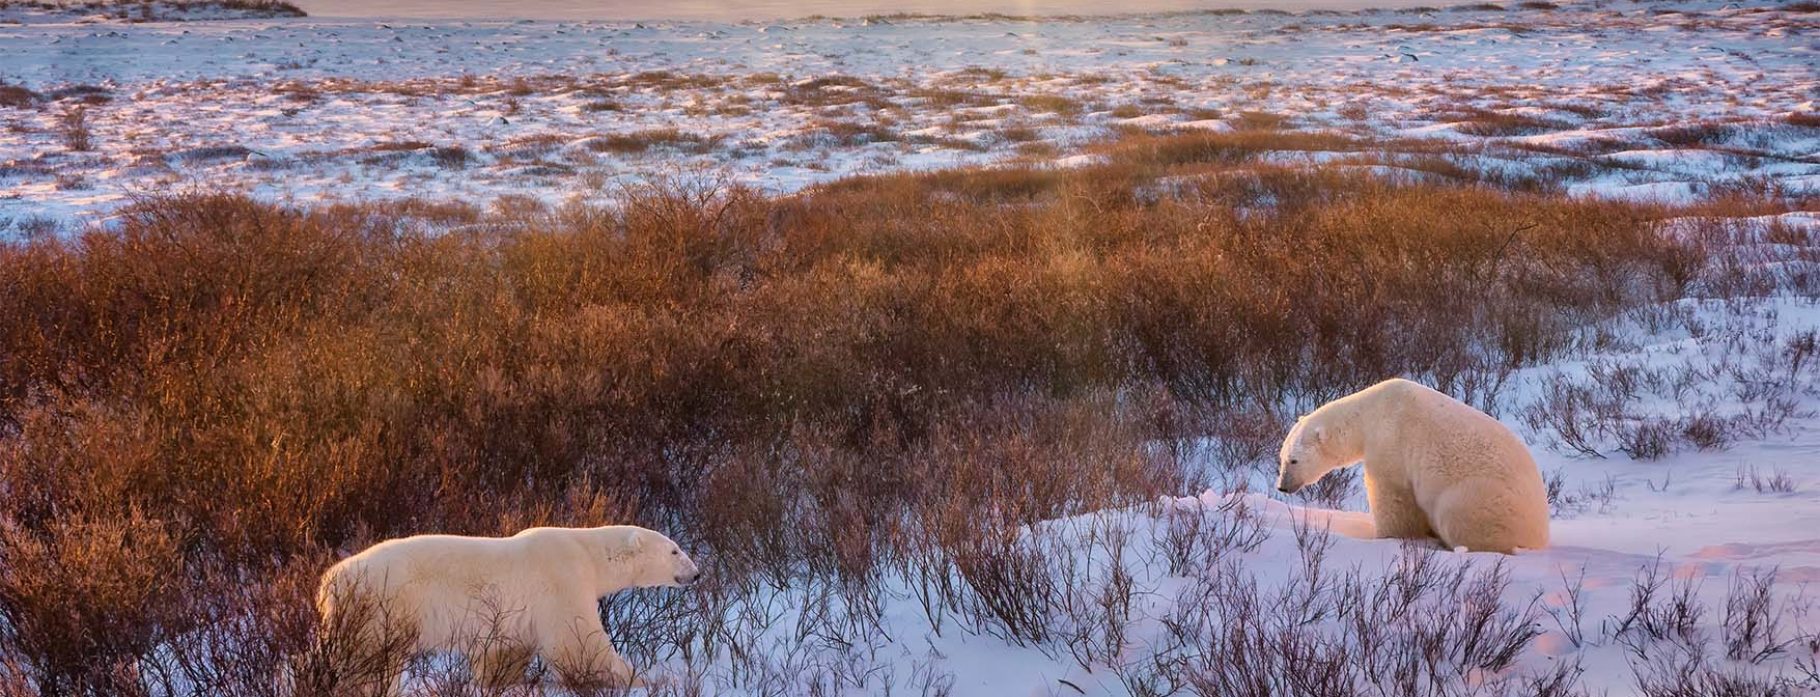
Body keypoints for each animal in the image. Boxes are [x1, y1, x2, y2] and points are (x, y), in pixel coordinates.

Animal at [316, 524, 698, 691]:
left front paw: (500, 680)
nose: (696, 573)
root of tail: (329, 581)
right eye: (675, 550)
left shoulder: (515, 615)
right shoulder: (562, 579)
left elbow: (505, 650)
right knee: (370, 661)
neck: (587, 551)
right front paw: (642, 678)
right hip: (382, 607)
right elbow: (579, 641)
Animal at [1281, 378, 1550, 553]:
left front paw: (1388, 536)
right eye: (1281, 458)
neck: (1370, 412)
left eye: (1294, 460)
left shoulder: (1390, 442)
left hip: (1480, 498)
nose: (1282, 486)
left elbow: (1393, 497)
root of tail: (1539, 534)